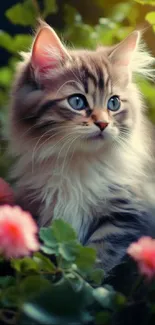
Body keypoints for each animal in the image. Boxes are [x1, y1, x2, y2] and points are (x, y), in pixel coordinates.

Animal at [8, 20, 155, 276]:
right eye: (77, 101)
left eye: (113, 103)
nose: (103, 123)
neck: (77, 162)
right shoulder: (40, 210)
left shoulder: (125, 215)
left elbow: (96, 258)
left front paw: (82, 278)